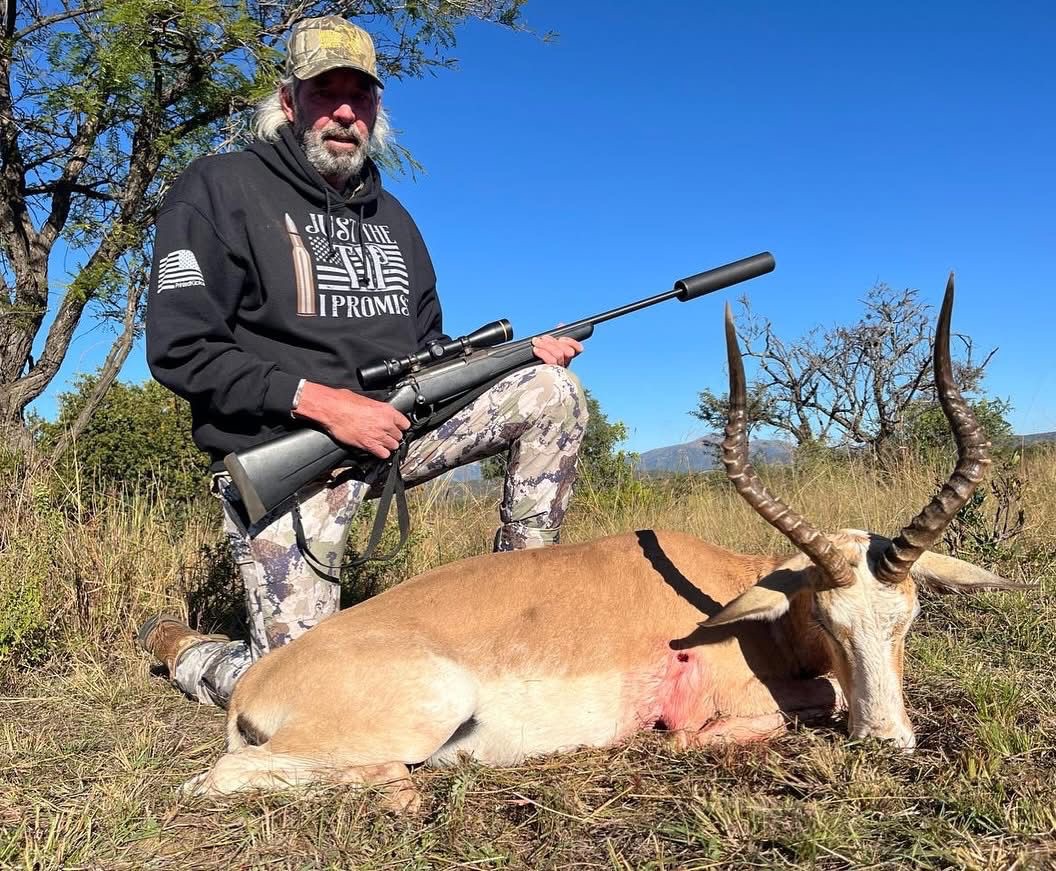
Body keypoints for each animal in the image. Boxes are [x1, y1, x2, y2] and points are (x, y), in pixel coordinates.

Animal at [185, 277, 1025, 809]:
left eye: (910, 618)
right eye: (826, 618)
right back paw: (403, 790)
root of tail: (261, 681)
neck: (741, 596)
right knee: (215, 777)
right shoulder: (728, 706)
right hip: (426, 708)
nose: (887, 741)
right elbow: (802, 703)